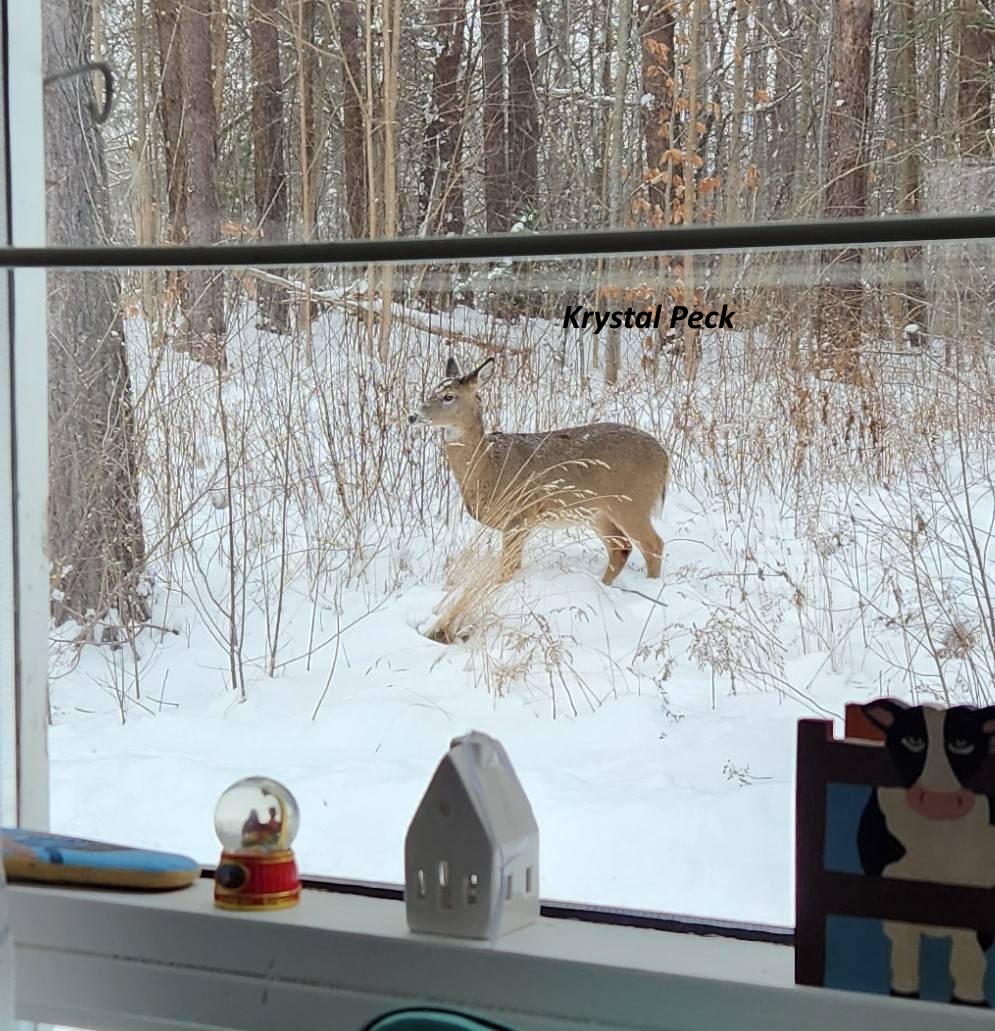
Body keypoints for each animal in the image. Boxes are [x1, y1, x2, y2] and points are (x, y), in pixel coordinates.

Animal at [409, 356, 670, 586]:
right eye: (429, 392)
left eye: (448, 396)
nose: (412, 416)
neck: (489, 468)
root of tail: (664, 457)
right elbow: (514, 566)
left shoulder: (519, 515)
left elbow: (507, 569)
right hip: (598, 511)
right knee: (621, 547)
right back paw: (603, 585)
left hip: (632, 502)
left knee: (653, 544)